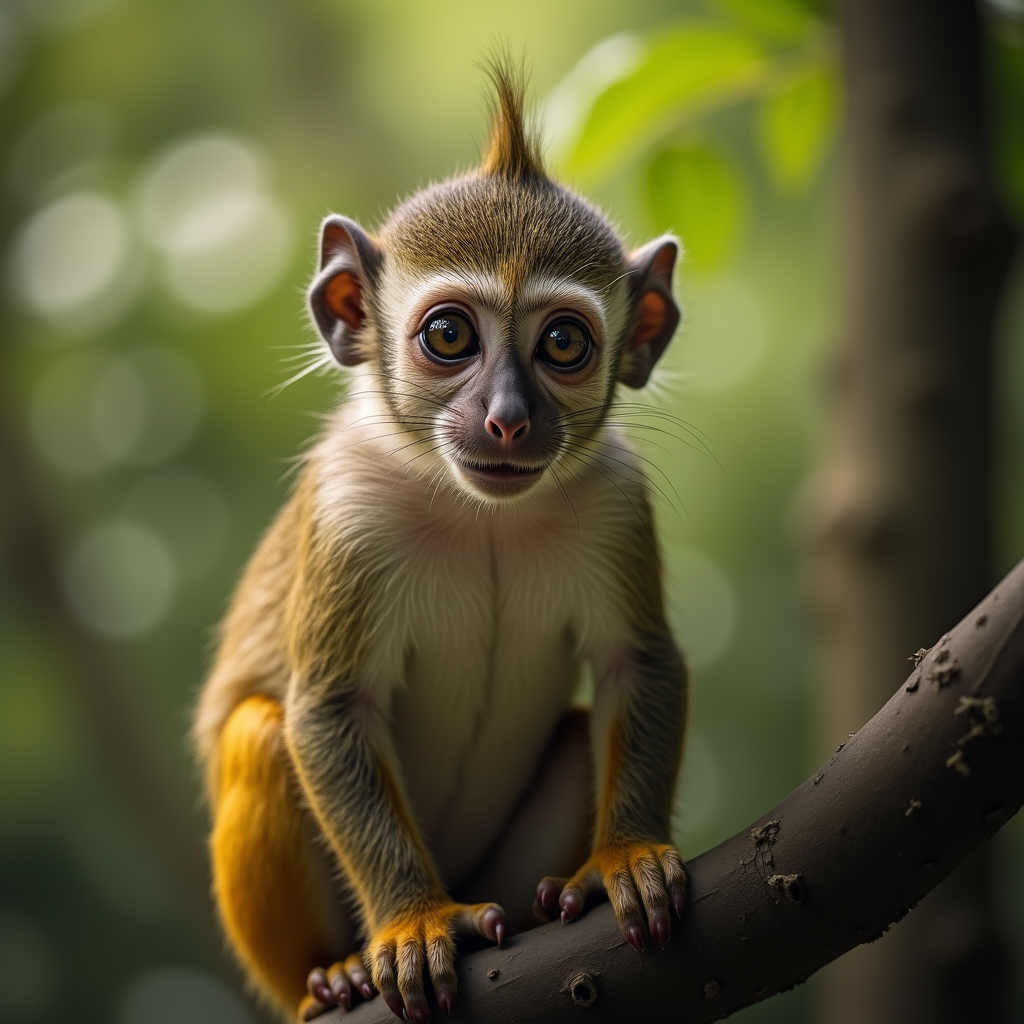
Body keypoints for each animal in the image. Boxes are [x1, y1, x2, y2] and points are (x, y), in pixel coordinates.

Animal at [192, 62, 688, 1024]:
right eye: (450, 335)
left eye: (562, 342)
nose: (507, 419)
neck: (478, 513)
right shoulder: (348, 508)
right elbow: (328, 709)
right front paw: (413, 921)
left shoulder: (615, 498)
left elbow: (636, 662)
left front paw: (623, 859)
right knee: (258, 733)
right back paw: (334, 976)